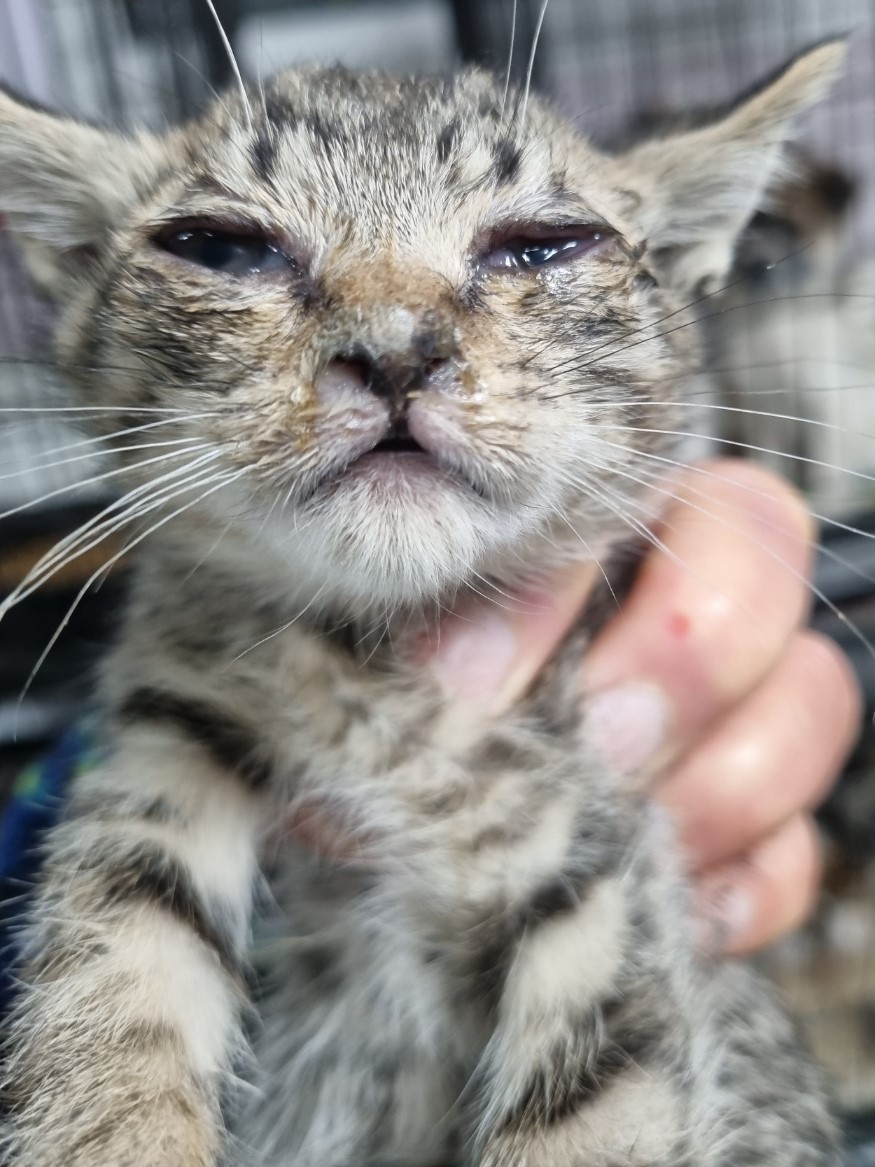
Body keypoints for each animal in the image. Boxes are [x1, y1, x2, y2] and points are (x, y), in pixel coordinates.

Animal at [0, 38, 849, 1167]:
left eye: (542, 246)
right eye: (219, 248)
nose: (397, 347)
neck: (378, 677)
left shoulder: (599, 856)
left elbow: (596, 1106)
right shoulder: (161, 739)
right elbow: (104, 994)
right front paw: (114, 1123)